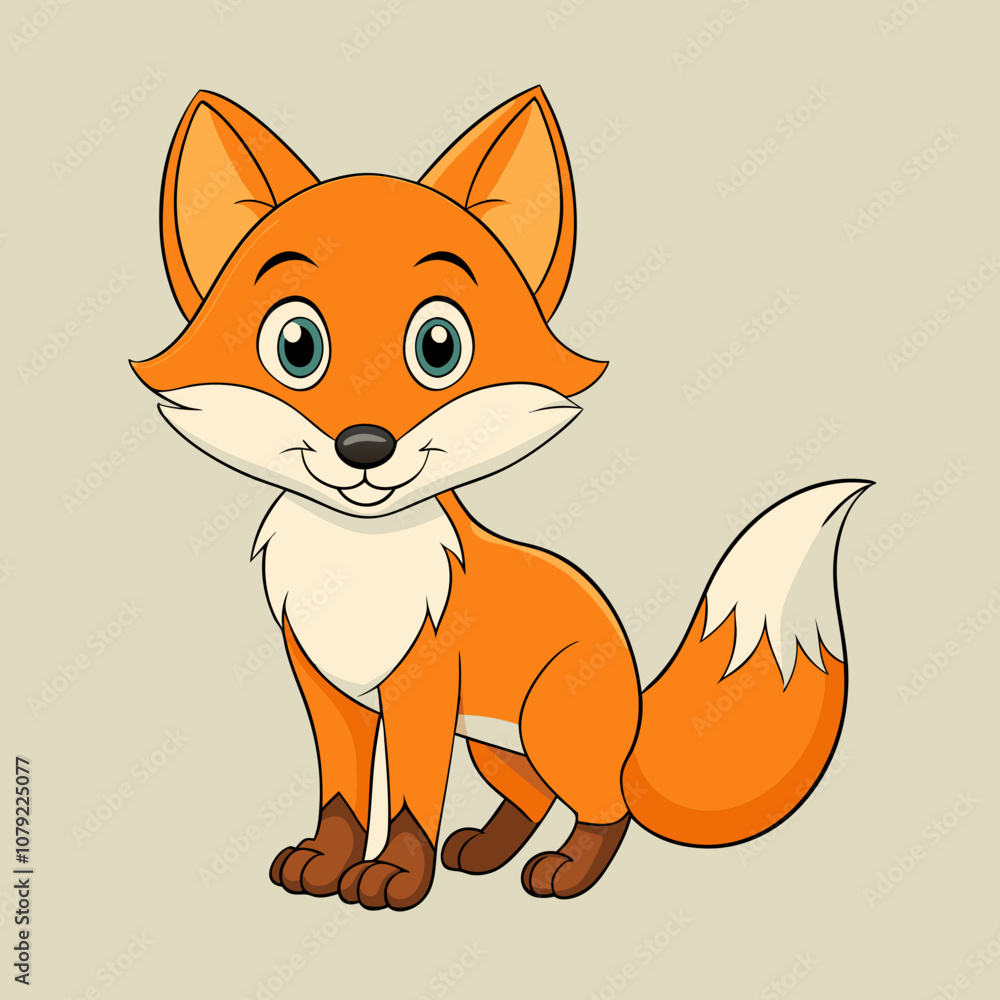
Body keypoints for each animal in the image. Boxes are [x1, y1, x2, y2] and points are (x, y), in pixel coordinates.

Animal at [132, 86, 871, 911]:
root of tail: (633, 685)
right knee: (534, 796)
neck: (357, 567)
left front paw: (395, 877)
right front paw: (326, 863)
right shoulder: (329, 691)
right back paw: (486, 852)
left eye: (439, 347)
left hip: (549, 729)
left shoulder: (420, 688)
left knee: (604, 805)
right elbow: (343, 796)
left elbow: (410, 799)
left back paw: (566, 872)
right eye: (296, 347)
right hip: (494, 742)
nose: (365, 447)